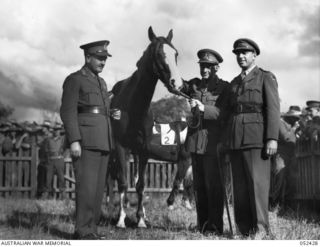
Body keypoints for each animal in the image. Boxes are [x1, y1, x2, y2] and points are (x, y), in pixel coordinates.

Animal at [110, 26, 182, 228]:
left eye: (176, 54)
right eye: (158, 54)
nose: (177, 83)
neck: (133, 106)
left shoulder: (143, 150)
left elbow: (141, 185)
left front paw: (141, 219)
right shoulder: (121, 147)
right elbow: (123, 183)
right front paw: (121, 219)